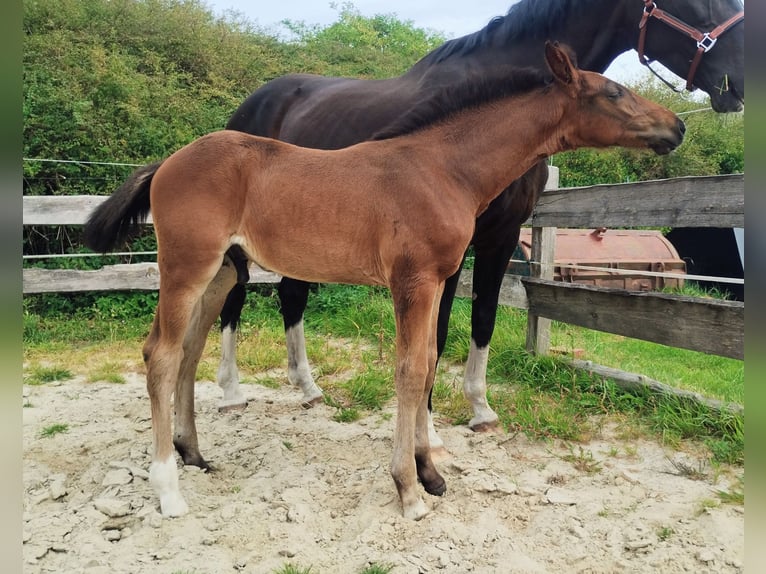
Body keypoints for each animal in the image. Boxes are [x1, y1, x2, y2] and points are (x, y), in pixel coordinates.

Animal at [83, 43, 685, 519]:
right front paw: (408, 488)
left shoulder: (440, 279)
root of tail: (166, 163)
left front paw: (430, 472)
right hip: (187, 265)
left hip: (223, 270)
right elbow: (411, 369)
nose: (677, 126)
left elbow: (430, 363)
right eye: (613, 92)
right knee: (160, 354)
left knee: (189, 348)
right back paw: (168, 489)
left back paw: (193, 452)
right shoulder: (413, 281)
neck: (443, 168)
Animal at [216, 0, 744, 450]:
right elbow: (437, 333)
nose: (736, 85)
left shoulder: (502, 236)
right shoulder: (446, 251)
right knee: (234, 296)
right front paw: (427, 429)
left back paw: (307, 386)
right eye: (700, 2)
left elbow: (483, 317)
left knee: (291, 295)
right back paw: (230, 392)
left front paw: (480, 410)